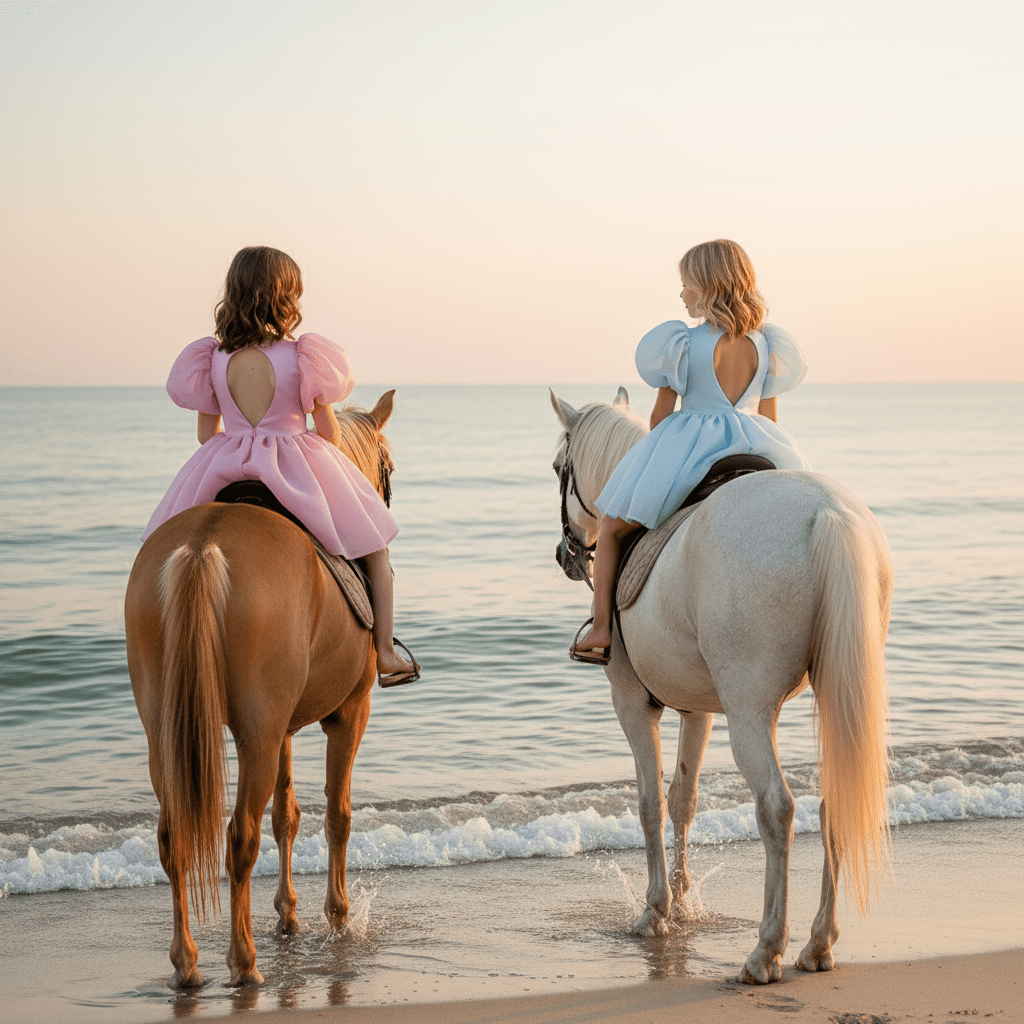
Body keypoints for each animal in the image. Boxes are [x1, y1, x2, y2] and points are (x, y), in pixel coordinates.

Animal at [125, 391, 398, 989]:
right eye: (389, 468)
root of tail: (202, 546)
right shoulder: (349, 713)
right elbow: (337, 814)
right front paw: (337, 914)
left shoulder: (284, 728)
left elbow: (287, 816)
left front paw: (289, 915)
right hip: (258, 733)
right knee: (239, 837)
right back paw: (243, 961)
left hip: (175, 733)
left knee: (174, 837)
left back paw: (187, 962)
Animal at [549, 388, 893, 985]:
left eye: (556, 469)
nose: (565, 555)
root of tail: (827, 512)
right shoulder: (698, 710)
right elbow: (682, 800)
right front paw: (682, 901)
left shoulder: (632, 704)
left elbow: (649, 802)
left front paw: (656, 910)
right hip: (833, 695)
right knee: (833, 802)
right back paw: (817, 942)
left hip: (749, 710)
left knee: (777, 807)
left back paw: (766, 950)